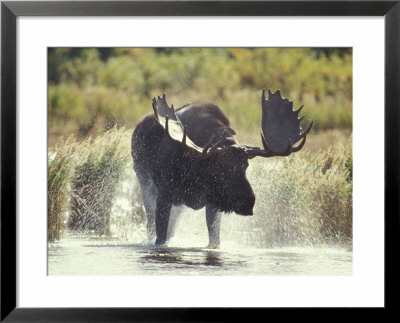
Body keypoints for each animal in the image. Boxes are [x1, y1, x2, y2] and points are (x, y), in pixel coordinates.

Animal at [131, 90, 312, 247]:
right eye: (219, 167)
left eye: (246, 165)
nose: (247, 201)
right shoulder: (165, 195)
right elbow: (159, 238)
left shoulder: (213, 203)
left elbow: (214, 240)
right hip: (145, 181)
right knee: (150, 223)